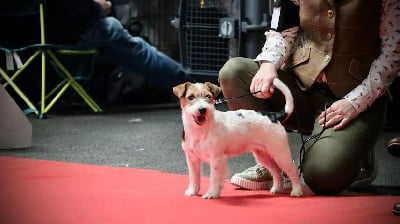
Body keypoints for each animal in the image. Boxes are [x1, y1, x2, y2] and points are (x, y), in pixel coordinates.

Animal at [173, 79, 304, 200]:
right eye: (191, 97)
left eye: (208, 96)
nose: (202, 110)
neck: (200, 129)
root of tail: (274, 116)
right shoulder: (192, 159)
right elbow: (194, 177)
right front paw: (192, 191)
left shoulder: (216, 158)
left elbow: (214, 178)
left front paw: (212, 193)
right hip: (263, 155)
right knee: (276, 171)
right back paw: (277, 188)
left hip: (280, 153)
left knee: (292, 171)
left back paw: (297, 191)